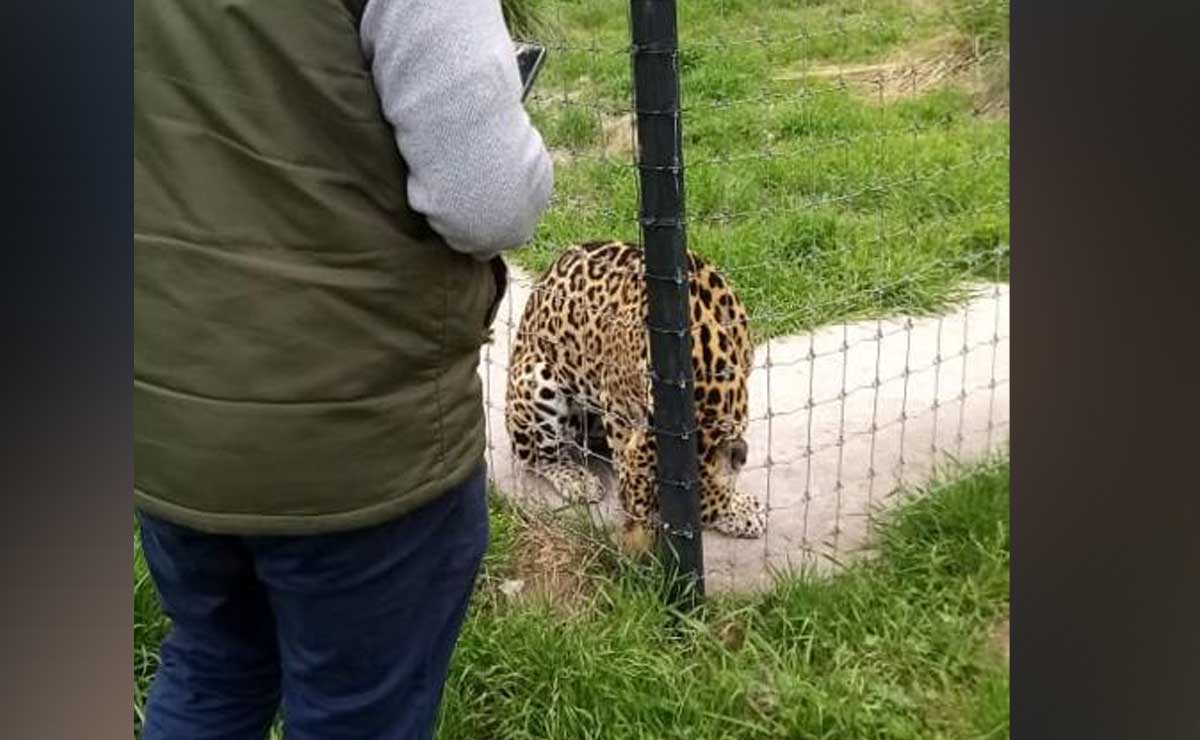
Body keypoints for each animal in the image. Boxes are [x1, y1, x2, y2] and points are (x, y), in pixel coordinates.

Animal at [504, 240, 766, 549]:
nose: (632, 557)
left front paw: (737, 510)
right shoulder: (615, 399)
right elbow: (622, 449)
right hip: (536, 381)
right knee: (537, 458)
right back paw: (578, 479)